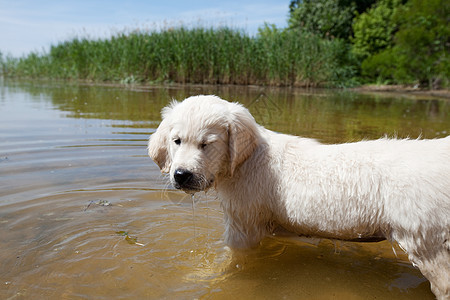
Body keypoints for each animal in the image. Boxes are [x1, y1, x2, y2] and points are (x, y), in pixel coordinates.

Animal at [149, 95, 450, 298]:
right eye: (176, 141)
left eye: (206, 144)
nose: (181, 175)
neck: (245, 161)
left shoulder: (243, 224)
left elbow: (231, 259)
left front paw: (206, 274)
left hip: (427, 241)